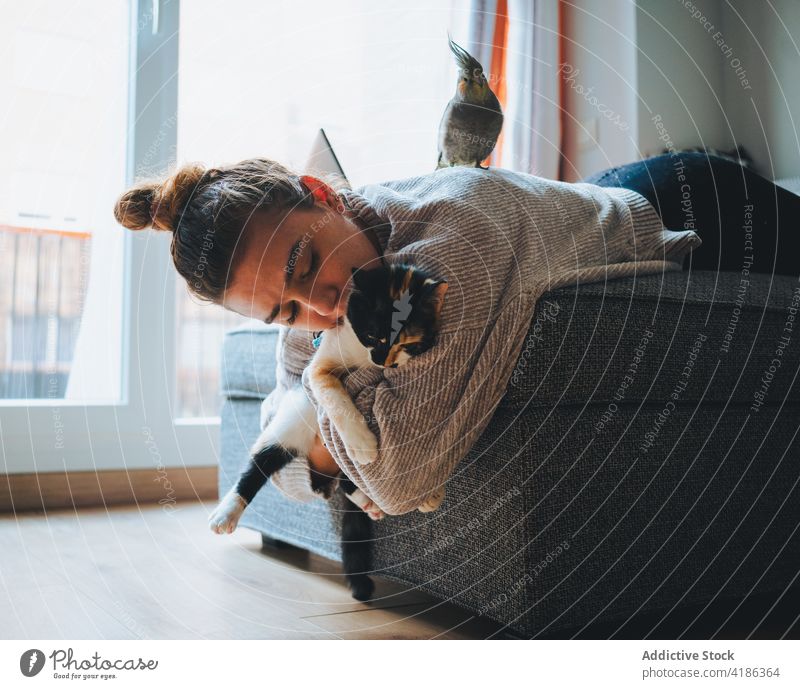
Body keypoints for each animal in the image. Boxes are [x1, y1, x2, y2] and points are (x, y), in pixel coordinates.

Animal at [209, 260, 446, 600]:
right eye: (372, 334)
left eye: (405, 342)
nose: (380, 361)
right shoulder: (319, 368)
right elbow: (333, 394)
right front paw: (362, 442)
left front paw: (427, 488)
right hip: (287, 429)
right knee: (257, 467)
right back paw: (227, 512)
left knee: (347, 479)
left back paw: (375, 501)